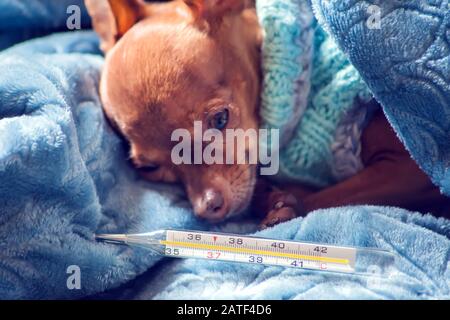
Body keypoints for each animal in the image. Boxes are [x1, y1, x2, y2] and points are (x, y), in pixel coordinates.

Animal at [86, 0, 448, 228]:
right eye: (150, 169)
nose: (207, 208)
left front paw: (282, 203)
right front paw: (270, 194)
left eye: (221, 120)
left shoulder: (411, 169)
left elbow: (329, 195)